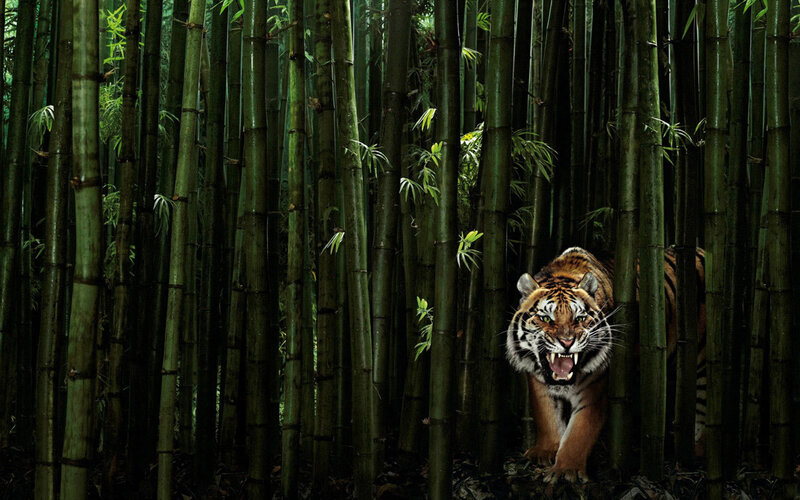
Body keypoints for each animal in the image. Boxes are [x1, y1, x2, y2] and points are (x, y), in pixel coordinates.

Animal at [505, 246, 706, 483]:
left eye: (579, 318)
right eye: (546, 319)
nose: (566, 342)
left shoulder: (595, 389)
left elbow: (579, 432)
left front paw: (566, 471)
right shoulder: (538, 382)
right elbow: (546, 417)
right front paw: (544, 452)